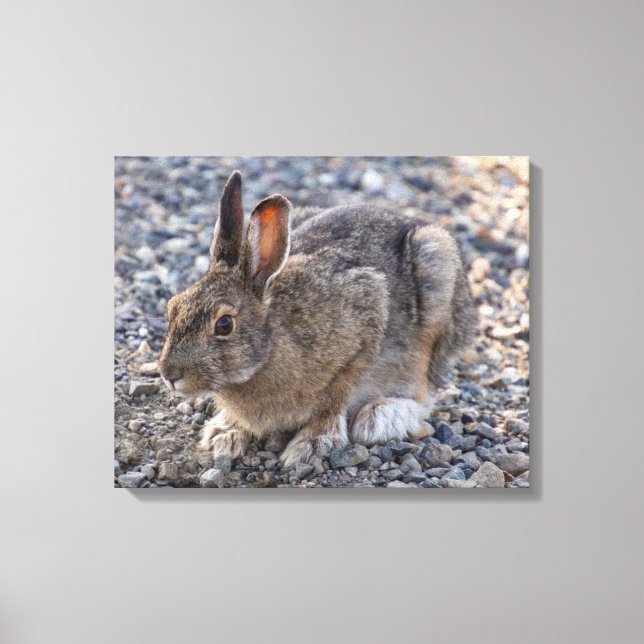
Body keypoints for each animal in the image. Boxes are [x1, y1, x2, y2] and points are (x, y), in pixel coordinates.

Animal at [158, 170, 477, 468]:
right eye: (173, 307)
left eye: (224, 324)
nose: (169, 374)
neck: (270, 345)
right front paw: (225, 434)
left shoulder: (365, 322)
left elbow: (335, 397)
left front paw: (311, 444)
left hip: (436, 283)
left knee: (425, 391)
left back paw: (380, 417)